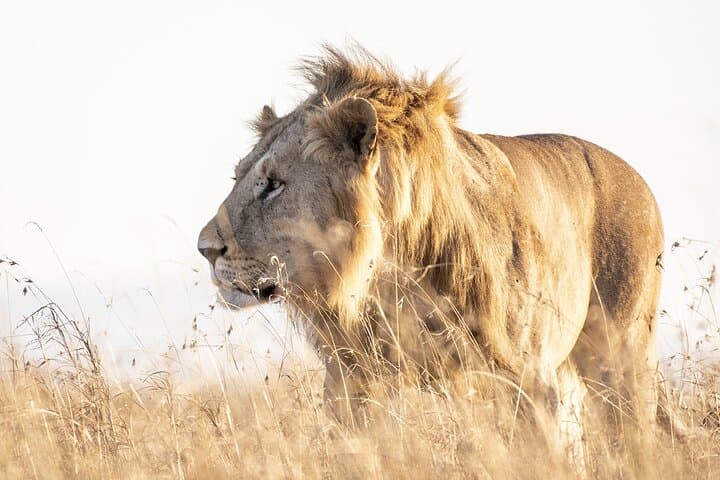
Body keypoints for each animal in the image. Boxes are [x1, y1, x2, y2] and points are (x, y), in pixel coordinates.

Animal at [198, 46, 664, 460]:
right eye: (239, 177)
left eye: (274, 184)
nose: (205, 249)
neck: (387, 272)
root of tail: (639, 180)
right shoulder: (351, 380)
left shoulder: (527, 378)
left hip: (620, 360)